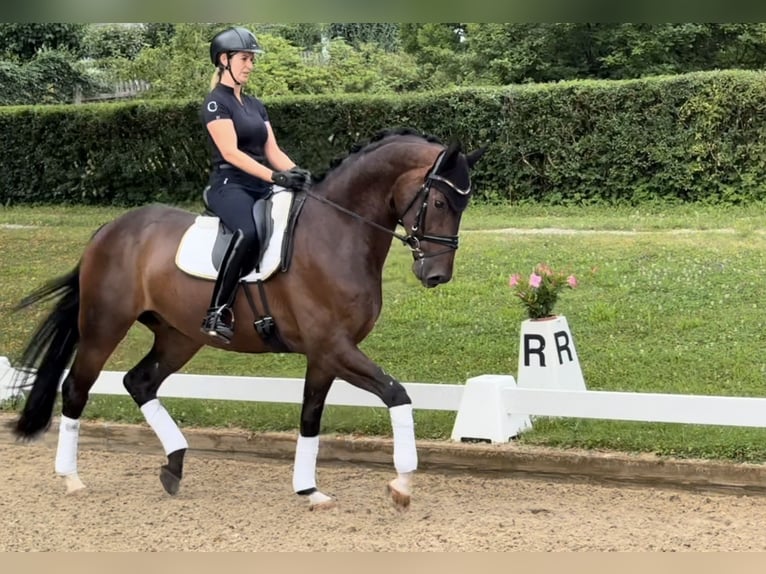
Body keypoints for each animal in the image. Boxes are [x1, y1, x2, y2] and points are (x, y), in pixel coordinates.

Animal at [10, 127, 486, 512]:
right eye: (439, 200)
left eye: (464, 204)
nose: (436, 274)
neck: (337, 232)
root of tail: (109, 230)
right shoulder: (334, 347)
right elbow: (397, 394)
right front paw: (402, 484)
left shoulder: (325, 354)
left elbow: (310, 417)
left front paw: (309, 490)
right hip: (104, 325)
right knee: (77, 388)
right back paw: (72, 479)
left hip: (179, 336)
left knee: (139, 382)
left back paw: (174, 466)